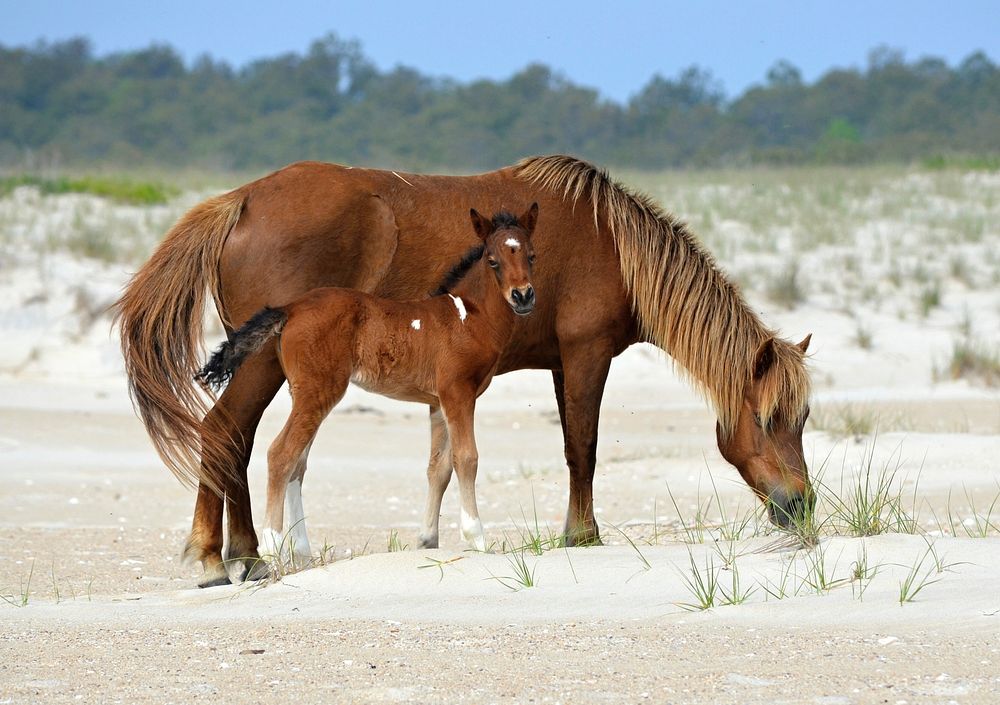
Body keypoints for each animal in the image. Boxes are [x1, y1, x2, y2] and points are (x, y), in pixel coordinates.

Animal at [195, 206, 540, 560]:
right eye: (493, 261)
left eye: (531, 256)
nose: (523, 296)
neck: (467, 317)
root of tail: (290, 308)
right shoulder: (459, 393)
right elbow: (466, 458)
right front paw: (478, 540)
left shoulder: (437, 401)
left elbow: (438, 467)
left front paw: (427, 540)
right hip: (319, 392)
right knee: (281, 454)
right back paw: (273, 545)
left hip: (305, 393)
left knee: (298, 464)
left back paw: (301, 551)